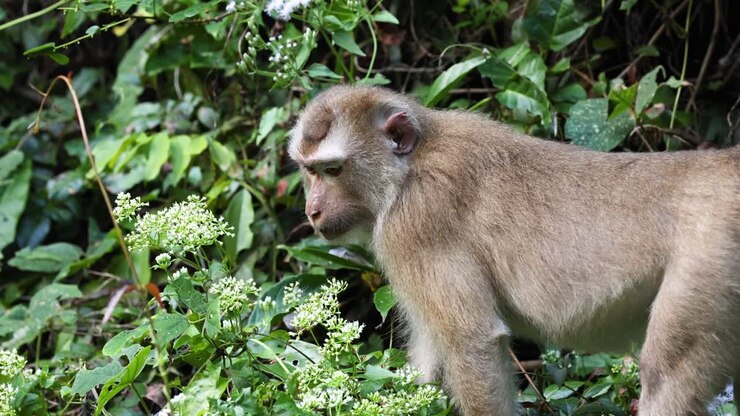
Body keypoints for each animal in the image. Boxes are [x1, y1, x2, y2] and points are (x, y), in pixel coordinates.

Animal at [288, 85, 740, 415]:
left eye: (333, 170)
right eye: (309, 170)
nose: (312, 211)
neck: (408, 168)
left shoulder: (415, 226)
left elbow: (472, 340)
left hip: (710, 259)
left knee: (667, 372)